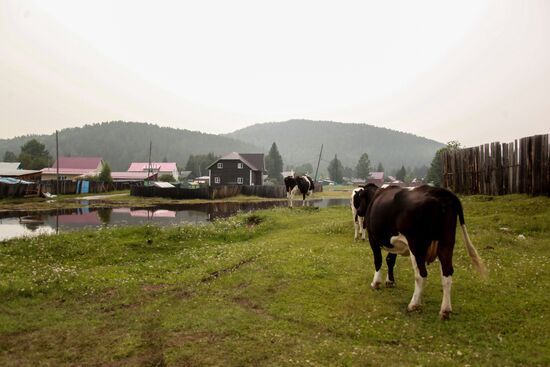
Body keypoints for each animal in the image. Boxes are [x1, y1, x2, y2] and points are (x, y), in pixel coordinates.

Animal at [356, 185, 486, 320]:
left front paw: (376, 283)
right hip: (446, 243)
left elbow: (378, 260)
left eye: (359, 197)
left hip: (416, 246)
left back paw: (414, 304)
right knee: (447, 273)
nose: (358, 211)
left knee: (421, 274)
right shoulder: (394, 242)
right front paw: (390, 281)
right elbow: (390, 260)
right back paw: (445, 310)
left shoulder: (373, 238)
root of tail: (438, 191)